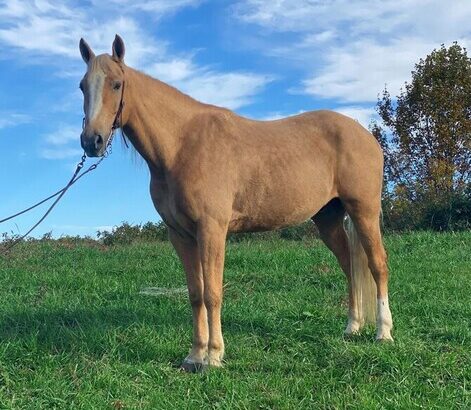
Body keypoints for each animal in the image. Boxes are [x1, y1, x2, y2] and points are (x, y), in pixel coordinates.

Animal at [78, 36, 394, 372]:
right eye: (82, 86)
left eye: (116, 84)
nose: (91, 141)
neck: (182, 145)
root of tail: (365, 135)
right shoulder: (181, 235)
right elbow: (195, 294)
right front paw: (194, 355)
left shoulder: (212, 231)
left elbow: (213, 293)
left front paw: (214, 356)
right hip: (328, 220)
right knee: (350, 267)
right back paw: (352, 327)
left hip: (364, 212)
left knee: (377, 265)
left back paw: (383, 332)